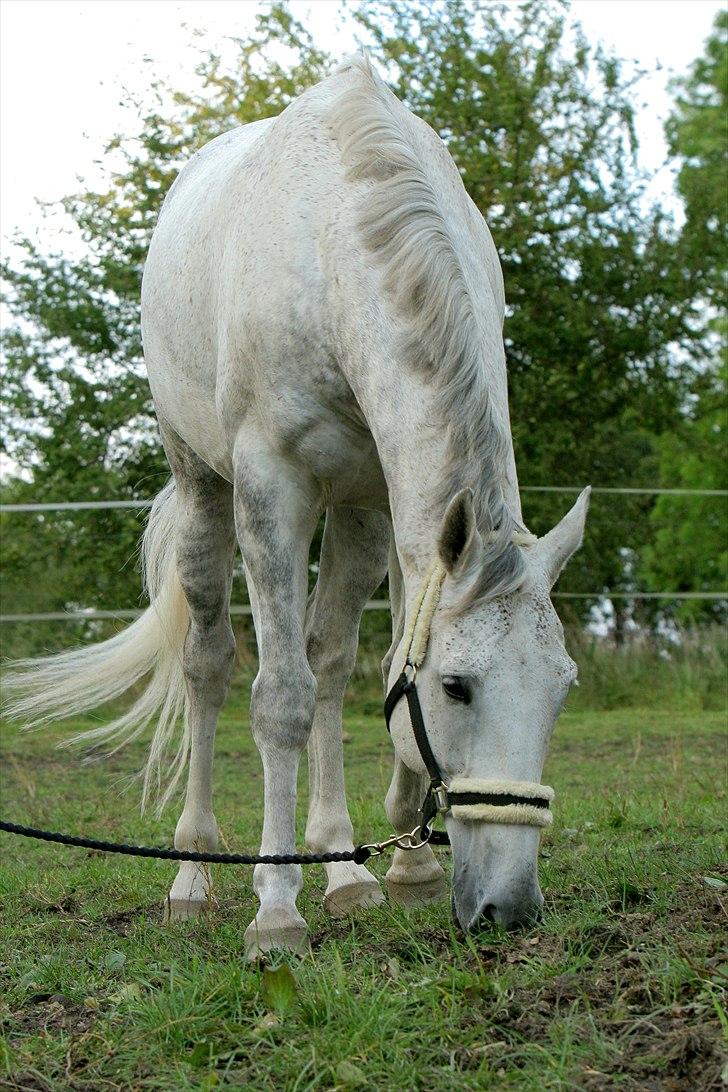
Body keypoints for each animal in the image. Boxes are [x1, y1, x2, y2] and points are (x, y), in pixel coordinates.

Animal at [5, 57, 589, 956]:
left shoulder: (370, 503)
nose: (509, 908)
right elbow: (279, 698)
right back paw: (195, 876)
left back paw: (359, 866)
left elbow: (344, 668)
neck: (336, 246)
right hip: (205, 492)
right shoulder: (272, 487)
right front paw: (276, 911)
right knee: (209, 663)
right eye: (457, 687)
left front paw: (380, 869)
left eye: (562, 688)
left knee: (324, 663)